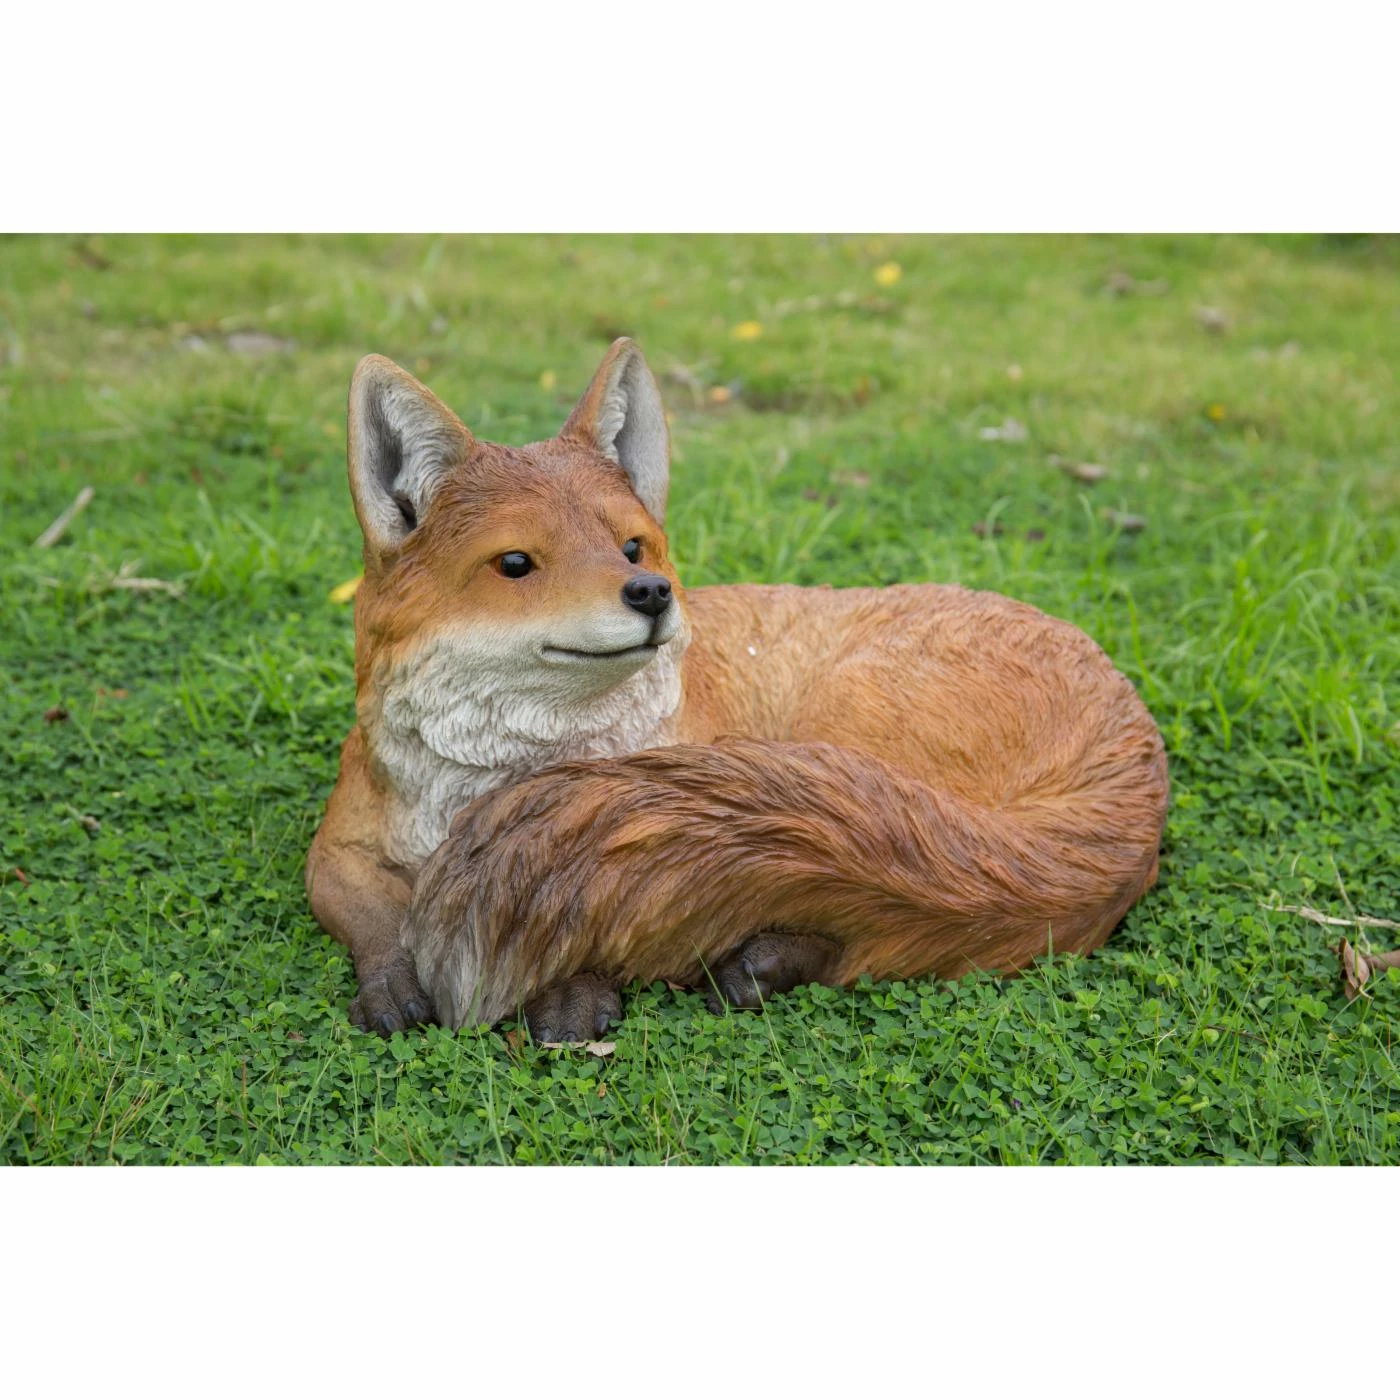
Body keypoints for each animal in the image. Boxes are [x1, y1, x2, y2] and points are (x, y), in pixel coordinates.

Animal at [306, 338, 1169, 1043]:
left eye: (632, 548)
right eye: (516, 564)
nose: (651, 593)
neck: (501, 783)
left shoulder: (640, 840)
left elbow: (607, 916)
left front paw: (572, 991)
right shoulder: (334, 851)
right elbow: (376, 923)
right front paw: (393, 984)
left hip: (839, 740)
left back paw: (761, 962)